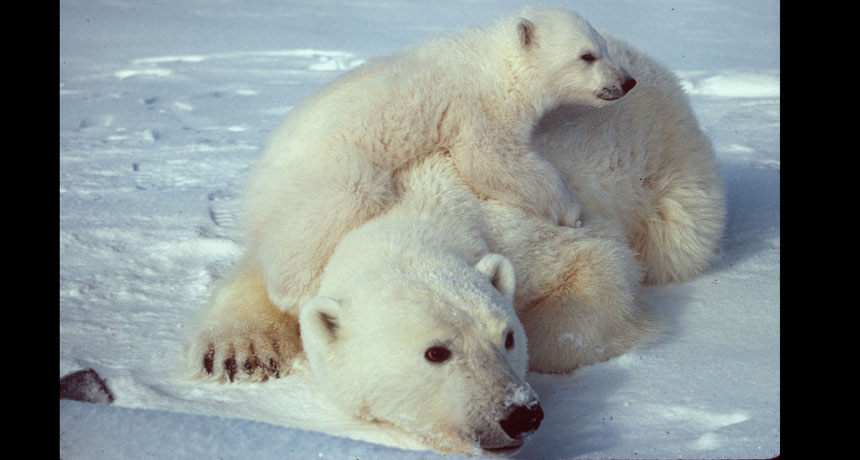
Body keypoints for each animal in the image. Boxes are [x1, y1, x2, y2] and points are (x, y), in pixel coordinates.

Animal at [241, 7, 637, 314]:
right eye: (587, 55)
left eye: (604, 47)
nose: (627, 82)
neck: (495, 63)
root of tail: (258, 180)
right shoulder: (479, 107)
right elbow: (491, 160)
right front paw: (570, 210)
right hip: (332, 168)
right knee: (332, 212)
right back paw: (297, 292)